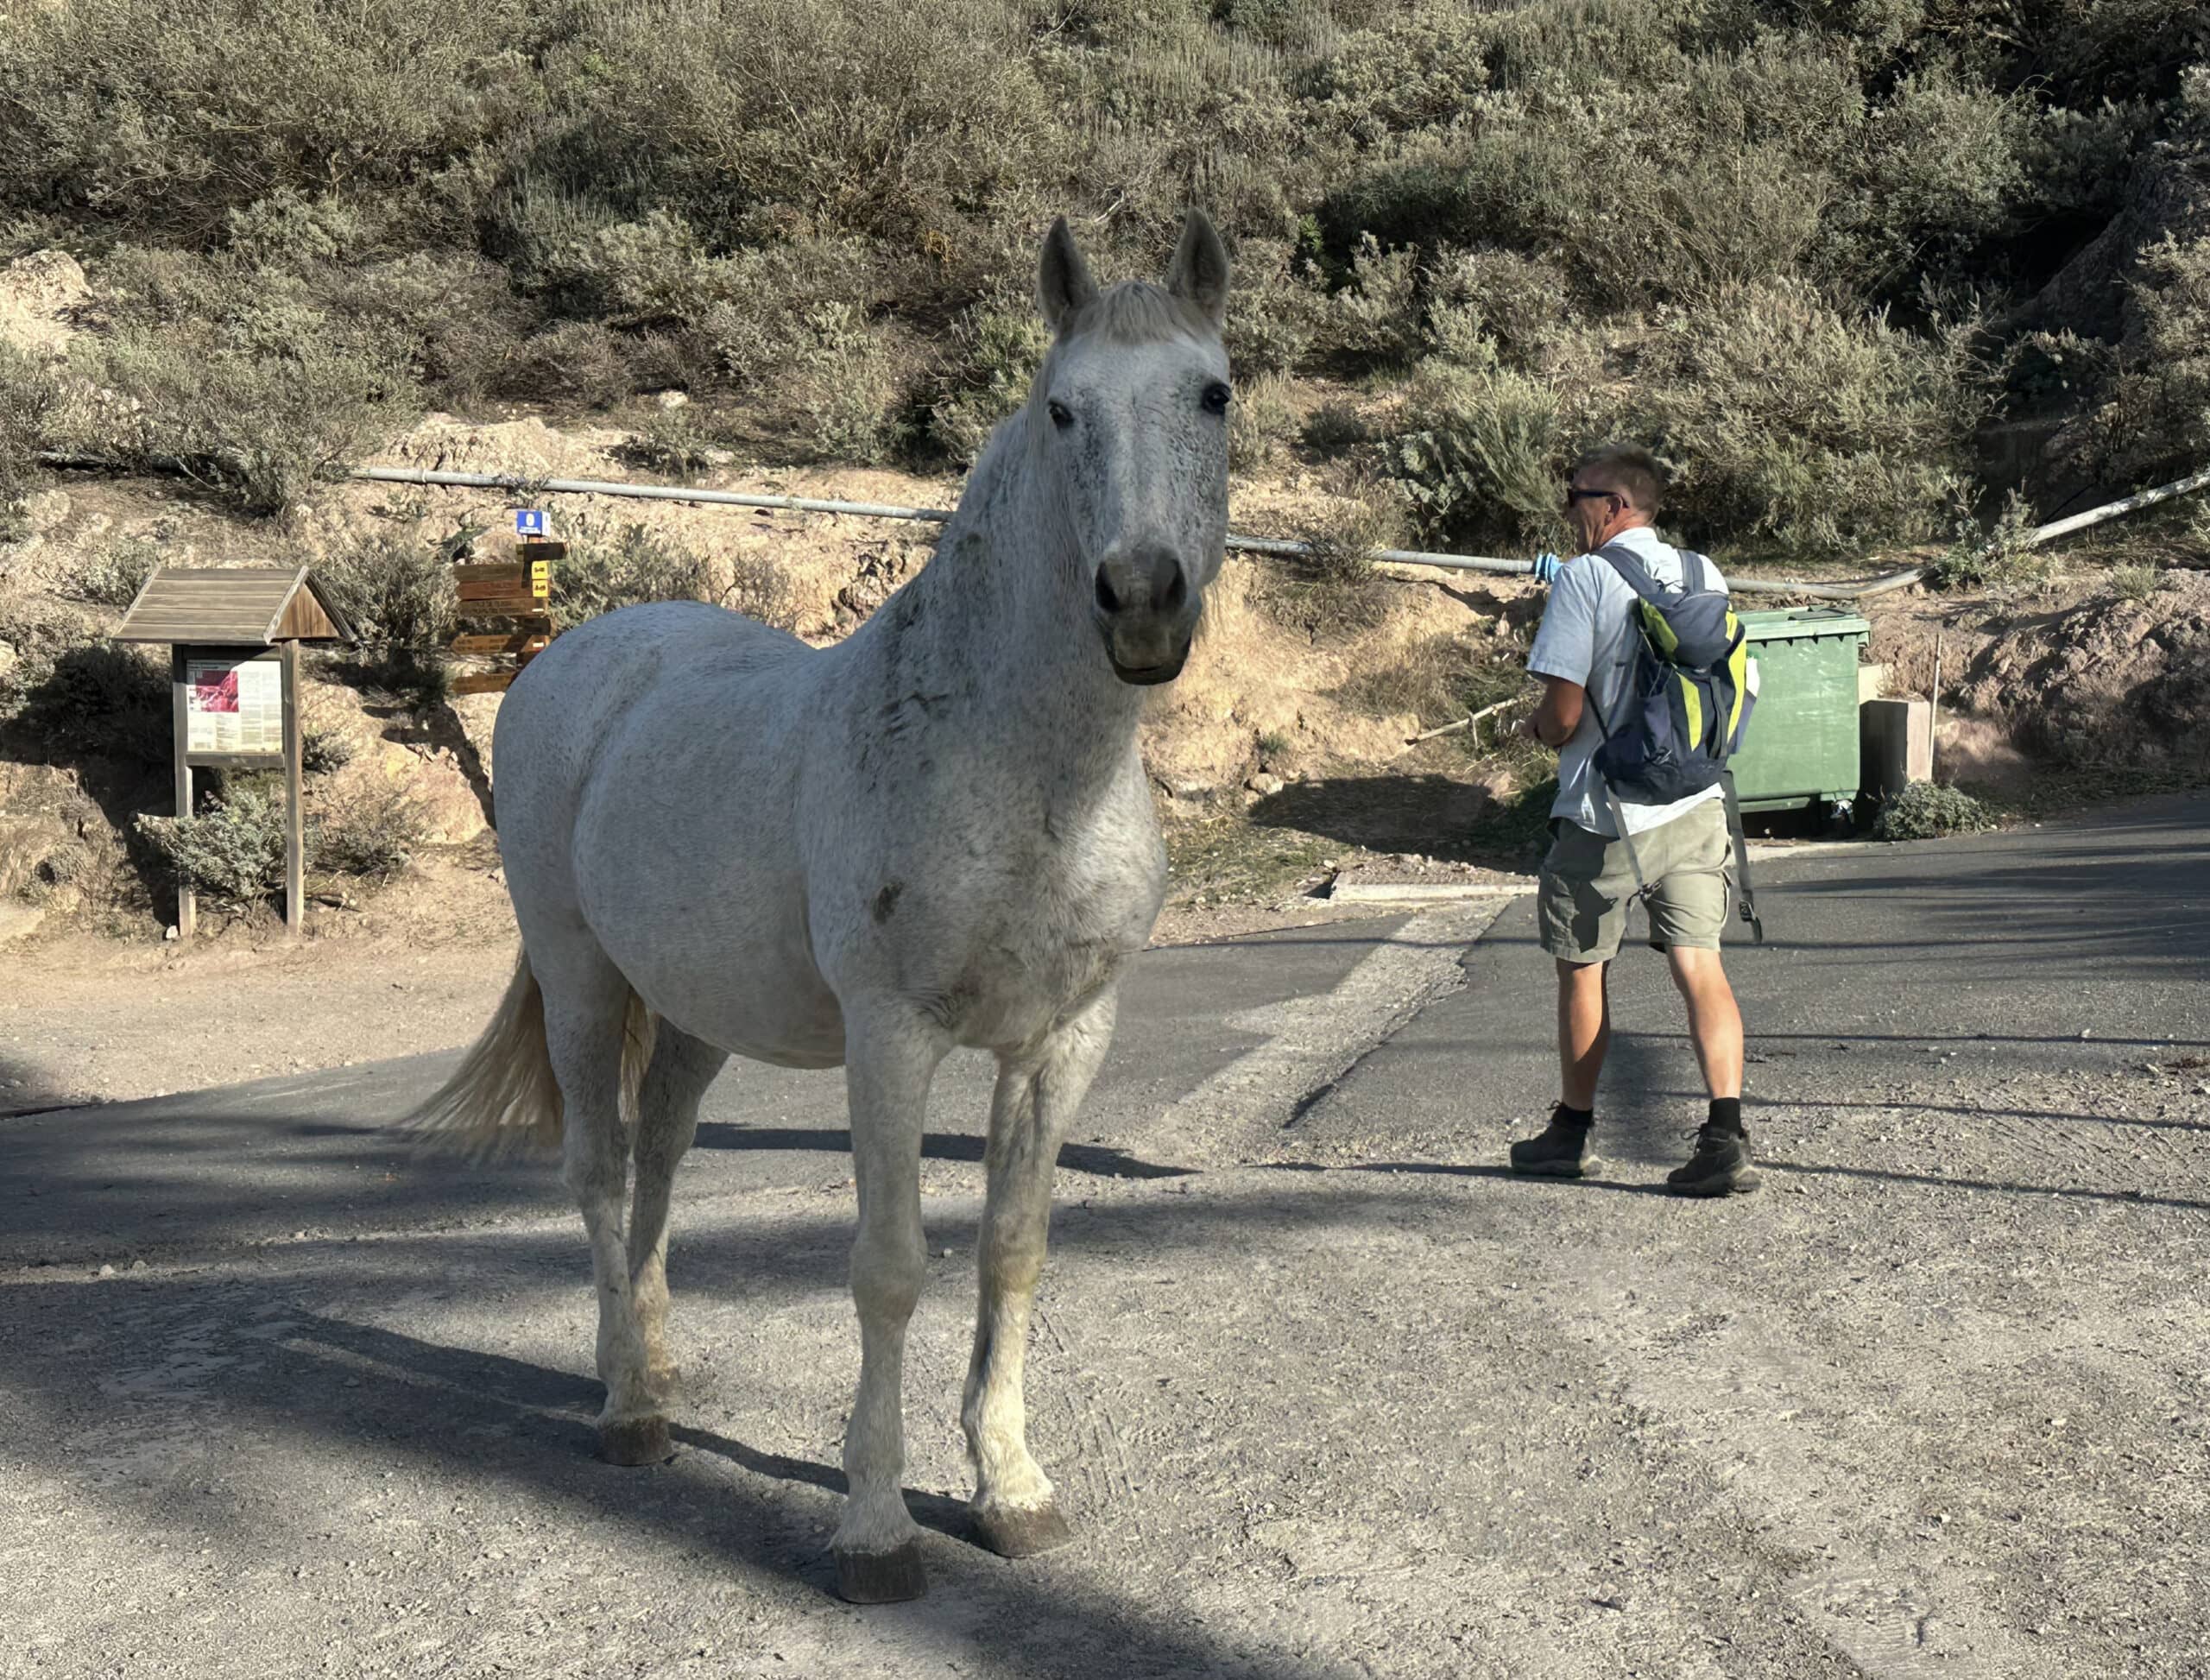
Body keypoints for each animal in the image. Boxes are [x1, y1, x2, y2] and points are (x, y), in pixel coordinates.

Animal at [415, 210, 1237, 1600]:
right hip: (581, 979)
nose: (1140, 600)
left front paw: (1011, 1488)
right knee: (596, 1167)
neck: (1017, 766)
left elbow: (1013, 1248)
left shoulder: (1063, 1040)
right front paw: (876, 1524)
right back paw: (628, 1408)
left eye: (1213, 394)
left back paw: (651, 1357)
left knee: (658, 1158)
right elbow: (892, 1267)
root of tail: (575, 655)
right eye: (1062, 408)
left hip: (695, 1015)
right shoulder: (891, 1035)